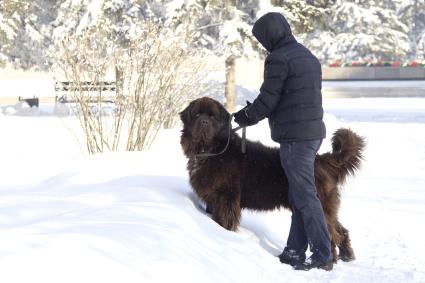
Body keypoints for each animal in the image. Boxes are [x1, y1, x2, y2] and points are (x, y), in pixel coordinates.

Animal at [179, 97, 364, 264]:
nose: (204, 122)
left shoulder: (226, 198)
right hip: (327, 206)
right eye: (197, 114)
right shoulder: (212, 197)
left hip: (318, 203)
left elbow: (223, 219)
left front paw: (223, 232)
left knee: (329, 233)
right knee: (340, 230)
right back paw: (346, 256)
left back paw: (327, 261)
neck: (211, 151)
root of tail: (321, 159)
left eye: (212, 117)